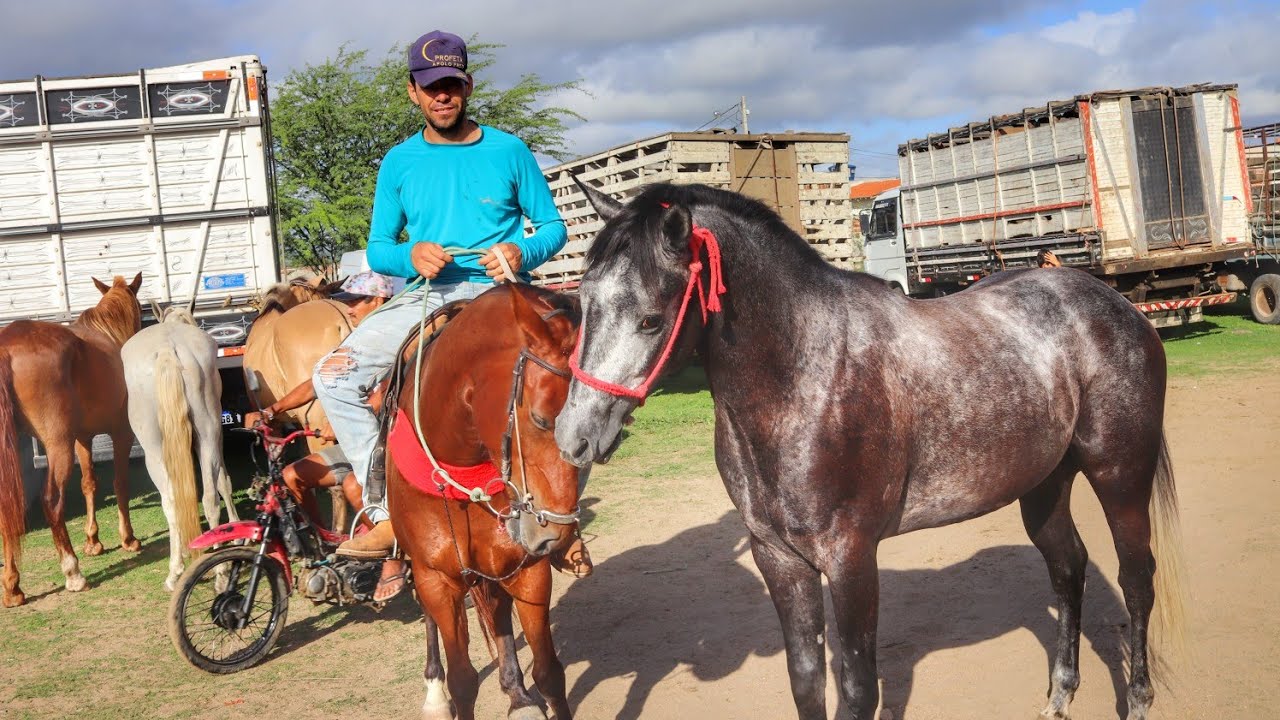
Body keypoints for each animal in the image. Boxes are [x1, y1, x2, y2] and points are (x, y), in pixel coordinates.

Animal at [0, 273, 145, 608]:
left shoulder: (83, 438)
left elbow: (89, 484)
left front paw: (93, 541)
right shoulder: (122, 432)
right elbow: (120, 483)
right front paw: (128, 538)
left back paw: (12, 588)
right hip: (57, 445)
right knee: (52, 500)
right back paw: (73, 572)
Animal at [121, 307, 238, 591]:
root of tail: (167, 349)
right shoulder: (218, 437)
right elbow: (224, 482)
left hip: (154, 449)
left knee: (175, 502)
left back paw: (177, 571)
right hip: (207, 433)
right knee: (209, 497)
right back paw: (218, 569)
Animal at [387, 283, 582, 720]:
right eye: (541, 419)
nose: (553, 537)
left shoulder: (528, 570)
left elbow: (549, 672)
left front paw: (525, 689)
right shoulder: (437, 580)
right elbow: (463, 681)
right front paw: (446, 691)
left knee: (496, 609)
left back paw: (517, 693)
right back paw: (434, 692)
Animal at [554, 181, 1186, 720]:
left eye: (651, 319)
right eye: (582, 303)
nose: (573, 435)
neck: (805, 377)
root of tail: (1114, 304)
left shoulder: (852, 559)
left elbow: (859, 689)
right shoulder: (778, 559)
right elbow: (807, 682)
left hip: (1119, 474)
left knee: (1136, 578)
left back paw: (1138, 700)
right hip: (1044, 486)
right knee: (1068, 570)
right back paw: (1059, 694)